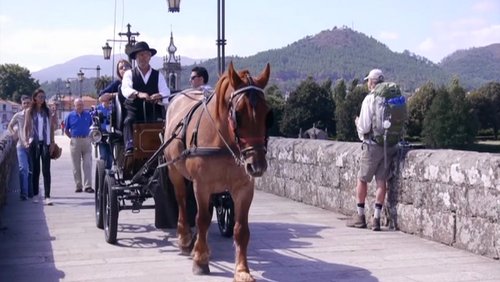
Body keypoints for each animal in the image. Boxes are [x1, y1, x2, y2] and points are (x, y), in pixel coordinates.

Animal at [163, 62, 272, 282]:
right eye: (238, 113)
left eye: (267, 113)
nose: (256, 165)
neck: (223, 139)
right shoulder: (202, 185)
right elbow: (202, 219)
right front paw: (200, 260)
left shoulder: (244, 188)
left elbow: (241, 229)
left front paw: (242, 270)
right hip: (174, 171)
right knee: (182, 201)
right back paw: (185, 238)